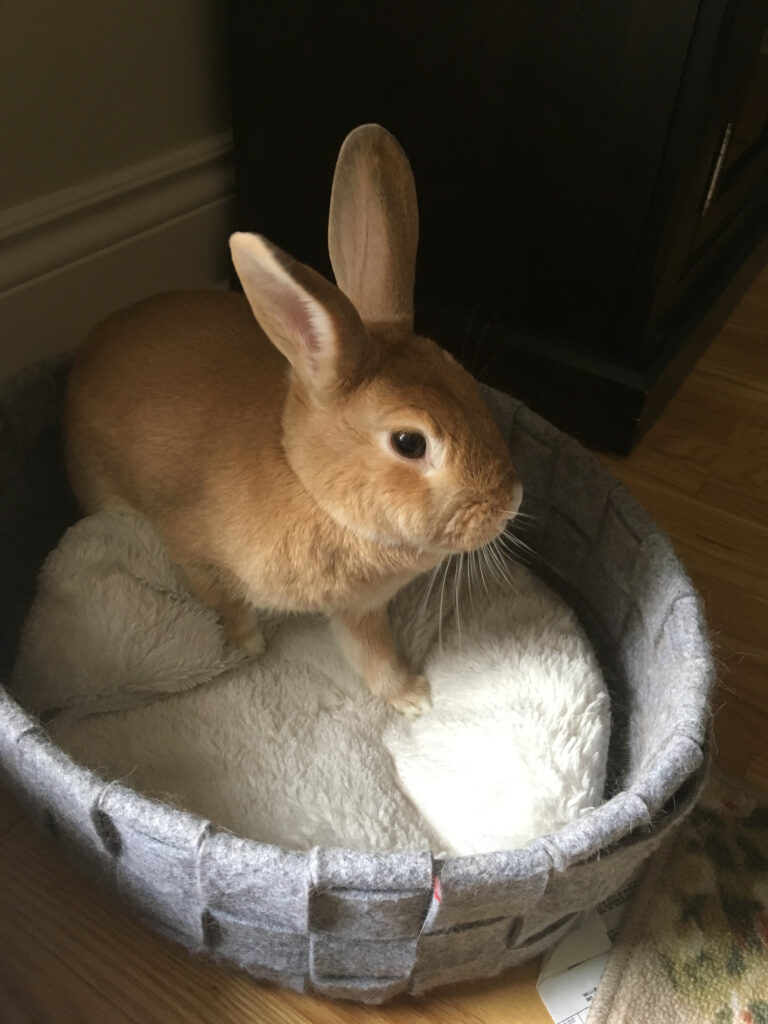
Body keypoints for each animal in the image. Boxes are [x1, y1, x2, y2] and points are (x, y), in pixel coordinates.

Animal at [64, 123, 524, 716]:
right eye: (409, 442)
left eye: (468, 385)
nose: (510, 503)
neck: (310, 484)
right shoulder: (192, 548)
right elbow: (224, 601)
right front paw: (247, 645)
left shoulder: (358, 608)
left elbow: (372, 654)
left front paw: (414, 699)